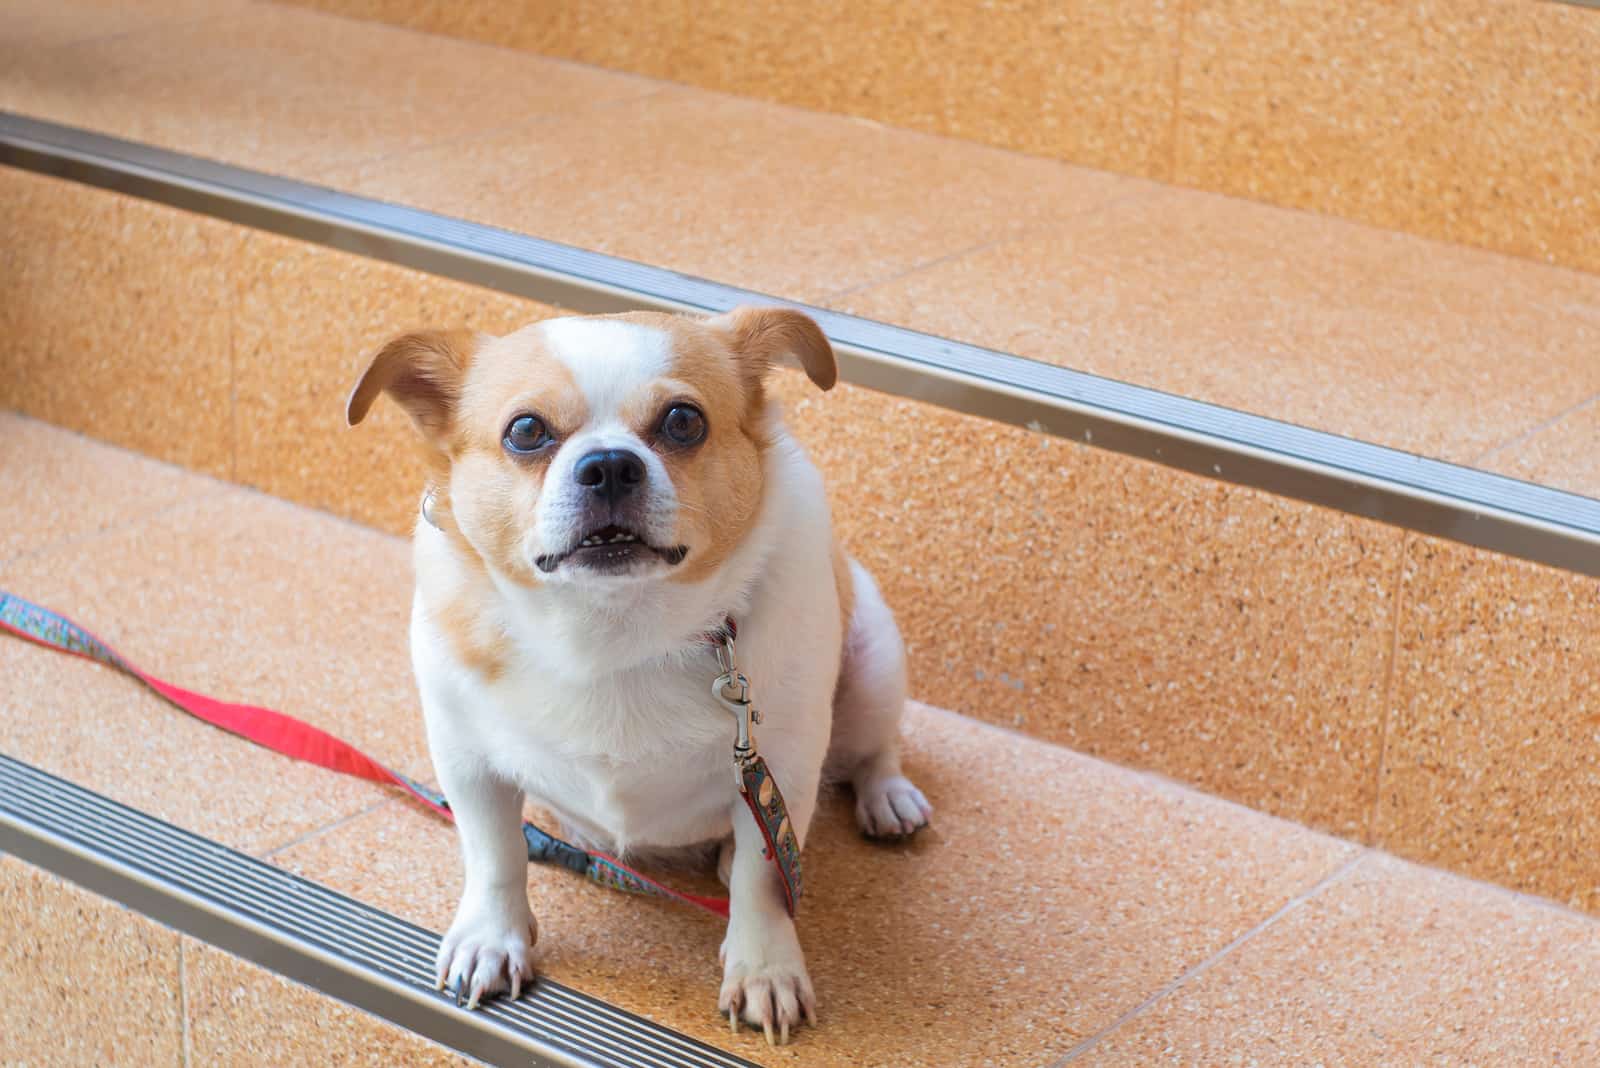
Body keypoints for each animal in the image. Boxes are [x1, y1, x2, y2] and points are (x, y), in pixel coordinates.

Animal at [344, 306, 934, 1042]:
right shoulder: (466, 761)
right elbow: (494, 855)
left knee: (871, 752)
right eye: (526, 431)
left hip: (874, 661)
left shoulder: (782, 770)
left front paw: (764, 967)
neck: (613, 633)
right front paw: (490, 936)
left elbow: (765, 879)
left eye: (683, 421)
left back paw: (886, 798)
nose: (608, 465)